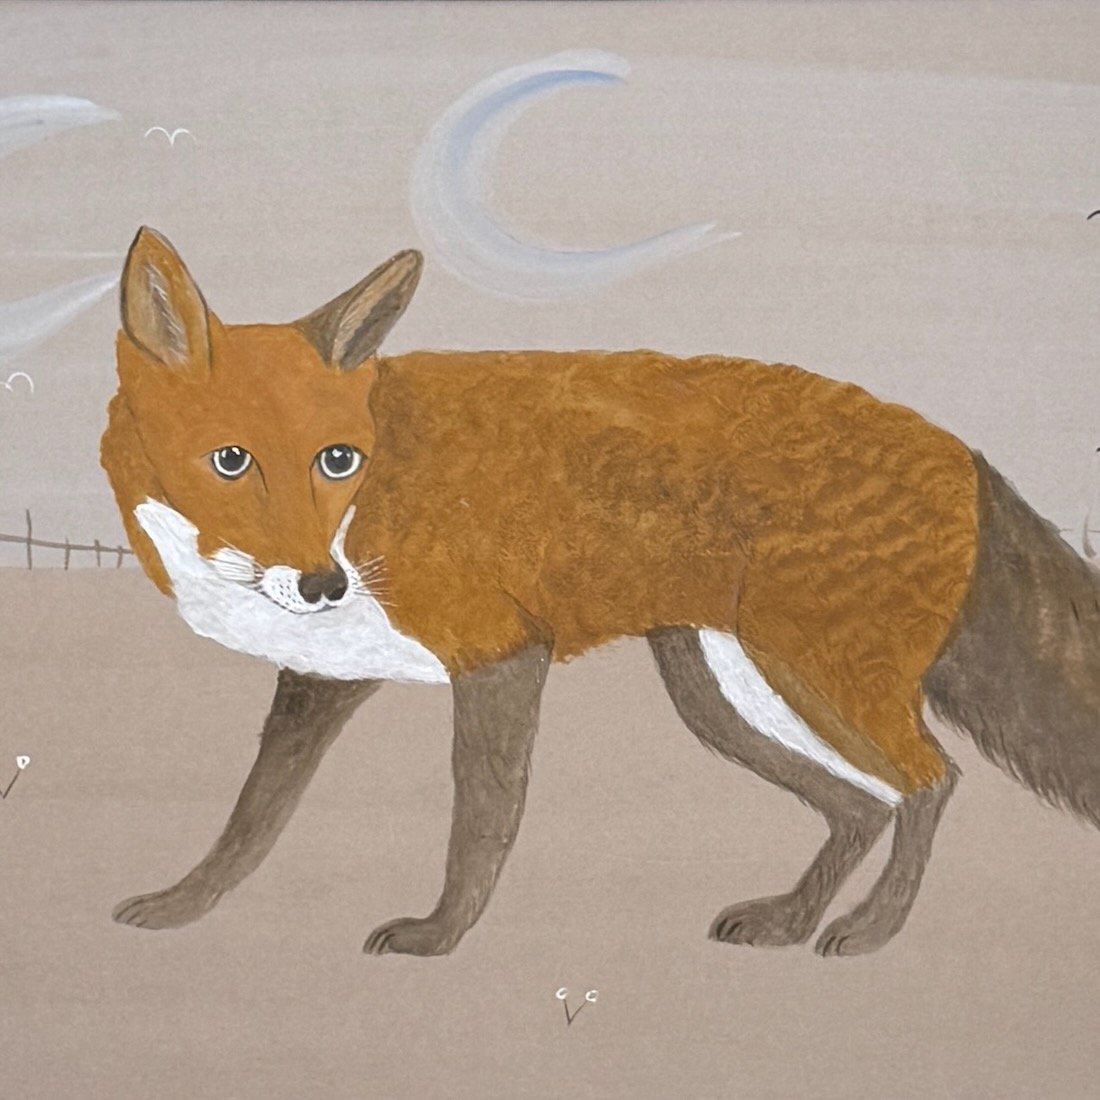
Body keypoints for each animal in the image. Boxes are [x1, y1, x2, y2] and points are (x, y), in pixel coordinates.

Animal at [100, 226, 1100, 958]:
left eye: (336, 459)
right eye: (232, 461)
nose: (322, 583)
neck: (370, 499)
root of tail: (963, 448)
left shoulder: (500, 654)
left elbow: (481, 819)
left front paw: (442, 935)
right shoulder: (322, 678)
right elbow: (251, 818)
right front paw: (183, 906)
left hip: (817, 680)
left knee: (931, 783)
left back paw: (872, 930)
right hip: (723, 694)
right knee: (859, 804)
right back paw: (790, 920)